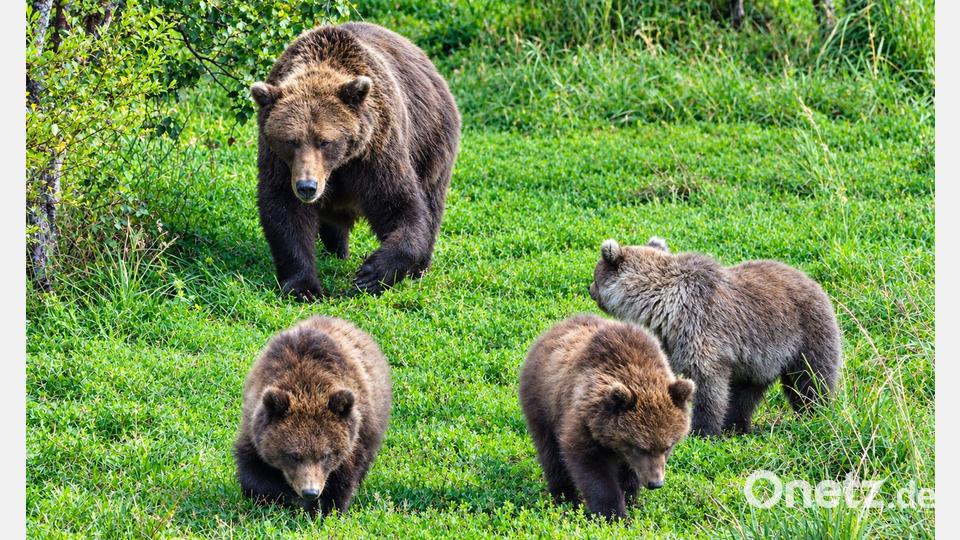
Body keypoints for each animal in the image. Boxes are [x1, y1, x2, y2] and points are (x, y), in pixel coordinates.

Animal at [233, 316, 391, 516]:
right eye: (293, 455)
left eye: (325, 455)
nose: (310, 491)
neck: (307, 385)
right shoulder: (254, 426)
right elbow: (254, 475)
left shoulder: (354, 438)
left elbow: (343, 479)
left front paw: (325, 509)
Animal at [251, 22, 461, 299]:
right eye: (291, 141)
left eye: (324, 141)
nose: (307, 187)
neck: (339, 165)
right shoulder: (279, 162)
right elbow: (285, 211)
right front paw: (304, 287)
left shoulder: (376, 151)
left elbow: (401, 205)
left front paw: (371, 275)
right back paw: (337, 250)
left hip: (431, 141)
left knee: (432, 200)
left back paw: (419, 268)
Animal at [519, 314, 695, 520]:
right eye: (640, 448)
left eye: (668, 446)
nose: (655, 483)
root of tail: (554, 329)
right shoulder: (584, 421)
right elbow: (593, 470)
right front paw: (614, 514)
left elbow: (629, 473)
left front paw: (630, 499)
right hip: (543, 403)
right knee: (551, 454)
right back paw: (564, 497)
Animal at [589, 237, 842, 437]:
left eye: (595, 275)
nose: (590, 290)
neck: (663, 305)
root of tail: (816, 284)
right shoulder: (672, 340)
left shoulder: (702, 328)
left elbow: (708, 385)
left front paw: (701, 430)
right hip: (757, 363)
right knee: (744, 394)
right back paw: (736, 426)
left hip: (805, 334)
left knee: (811, 380)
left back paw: (814, 415)